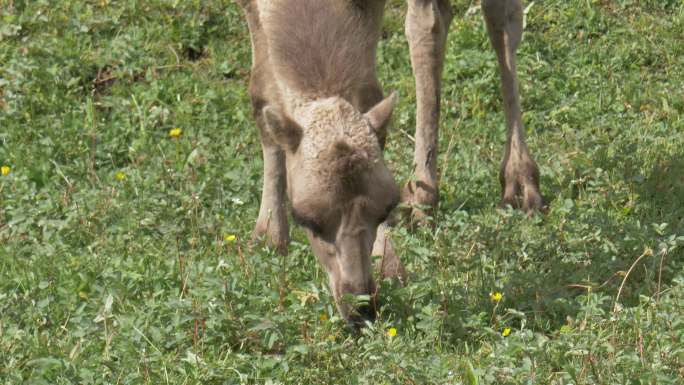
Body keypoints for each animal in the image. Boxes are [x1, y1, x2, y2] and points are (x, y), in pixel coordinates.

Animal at [238, 0, 544, 324]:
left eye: (386, 208)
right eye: (306, 219)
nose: (360, 306)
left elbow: (369, 92)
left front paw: (390, 266)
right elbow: (261, 94)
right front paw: (269, 234)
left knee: (482, 20)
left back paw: (515, 181)